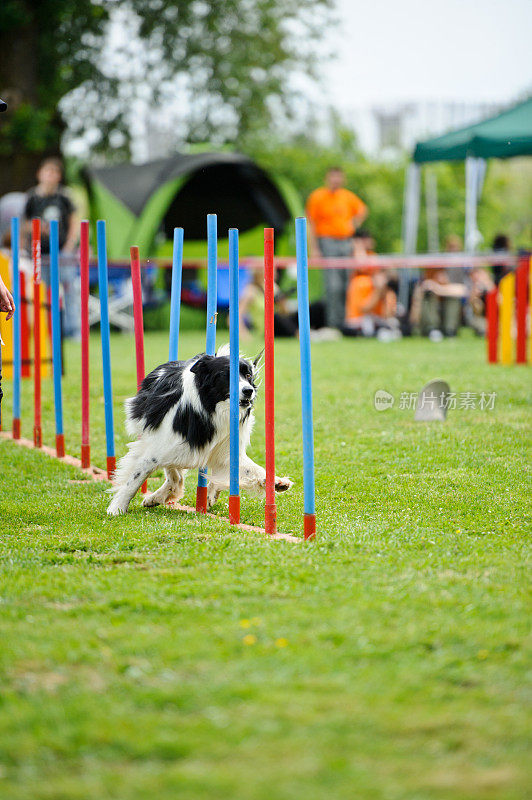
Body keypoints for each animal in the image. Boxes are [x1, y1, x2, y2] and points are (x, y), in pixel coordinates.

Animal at [106, 346, 294, 520]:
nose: (248, 390)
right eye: (226, 375)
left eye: (248, 375)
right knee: (172, 473)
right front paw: (116, 508)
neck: (212, 407)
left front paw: (276, 482)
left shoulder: (225, 448)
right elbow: (134, 479)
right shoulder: (157, 448)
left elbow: (250, 468)